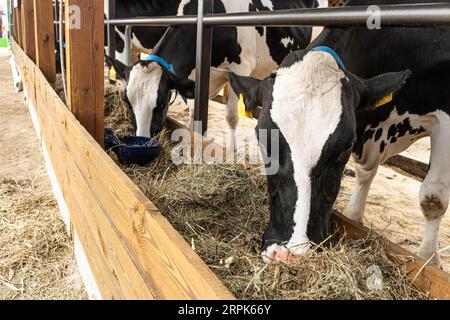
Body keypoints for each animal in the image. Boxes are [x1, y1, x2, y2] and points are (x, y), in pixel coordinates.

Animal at [107, 0, 326, 148]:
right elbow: (194, 112)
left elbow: (231, 117)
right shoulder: (195, 75)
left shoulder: (239, 68)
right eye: (127, 102)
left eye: (160, 104)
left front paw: (231, 154)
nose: (142, 140)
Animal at [229, 0, 450, 264]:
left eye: (345, 146)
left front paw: (428, 260)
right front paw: (353, 216)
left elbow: (433, 197)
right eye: (262, 140)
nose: (291, 253)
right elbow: (365, 173)